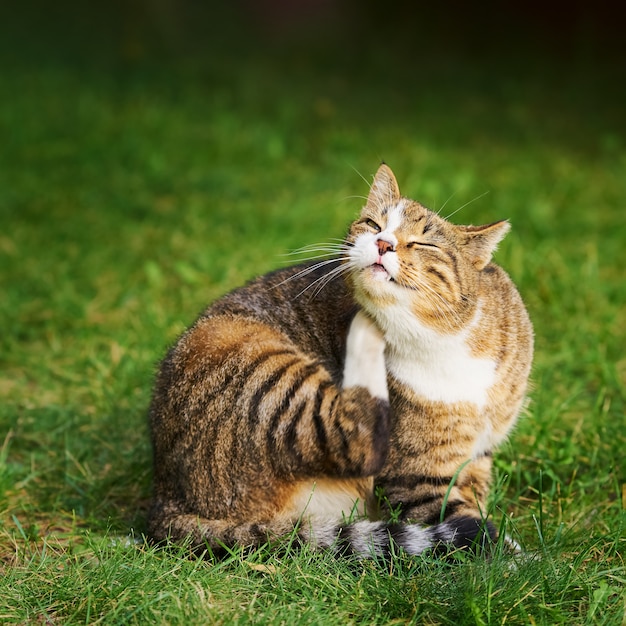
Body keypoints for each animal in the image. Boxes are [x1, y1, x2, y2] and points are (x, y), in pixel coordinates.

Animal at [146, 162, 532, 556]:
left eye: (423, 242)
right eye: (374, 225)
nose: (382, 243)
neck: (442, 338)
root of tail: (165, 496)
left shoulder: (477, 455)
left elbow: (474, 506)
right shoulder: (413, 474)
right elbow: (467, 527)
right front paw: (513, 558)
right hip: (248, 358)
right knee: (354, 434)